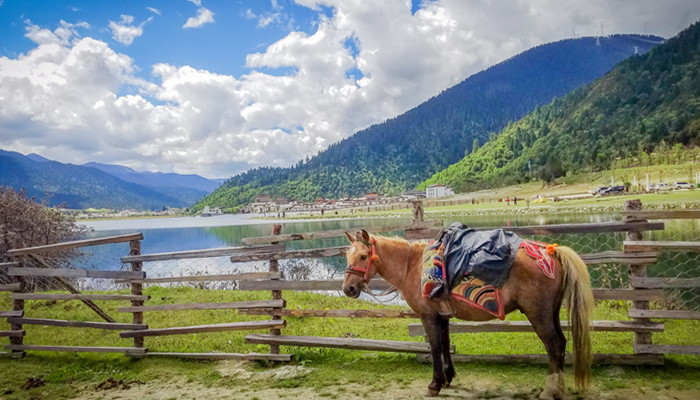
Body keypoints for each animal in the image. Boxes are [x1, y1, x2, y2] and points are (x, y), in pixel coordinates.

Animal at [342, 229, 594, 399]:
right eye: (347, 256)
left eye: (363, 256)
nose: (348, 289)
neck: (412, 266)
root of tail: (551, 252)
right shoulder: (441, 315)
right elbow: (445, 344)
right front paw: (448, 378)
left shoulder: (428, 316)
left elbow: (434, 347)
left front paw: (434, 384)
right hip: (551, 313)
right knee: (561, 344)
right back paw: (558, 388)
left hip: (538, 314)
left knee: (554, 346)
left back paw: (549, 390)